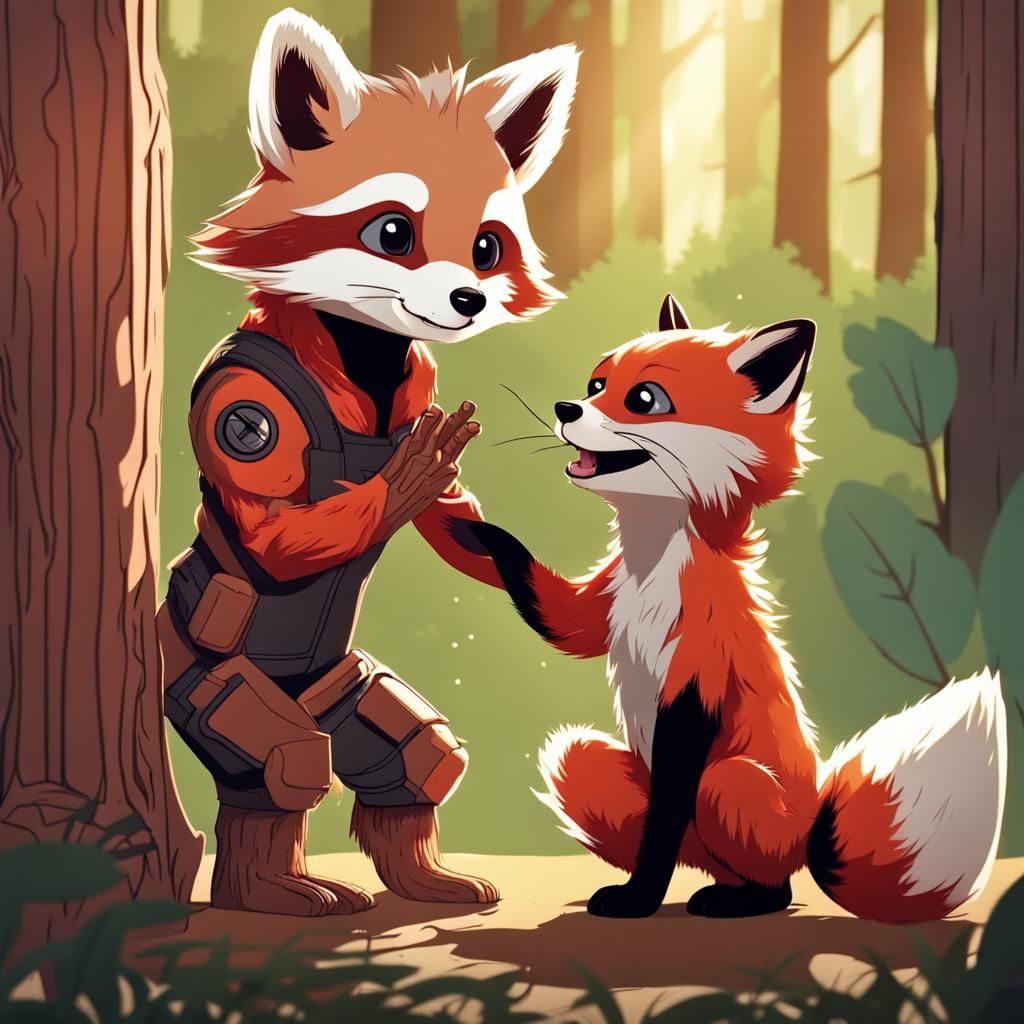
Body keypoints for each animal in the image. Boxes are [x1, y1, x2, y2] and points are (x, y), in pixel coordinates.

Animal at [162, 7, 580, 916]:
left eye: (488, 246)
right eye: (393, 232)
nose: (467, 299)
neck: (362, 356)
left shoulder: (422, 386)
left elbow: (460, 526)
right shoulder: (246, 405)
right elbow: (277, 535)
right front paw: (402, 478)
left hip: (344, 686)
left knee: (415, 752)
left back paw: (427, 877)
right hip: (217, 682)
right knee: (281, 764)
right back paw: (273, 888)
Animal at [465, 295, 1008, 921]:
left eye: (644, 399)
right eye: (596, 383)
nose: (565, 407)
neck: (652, 573)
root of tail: (813, 836)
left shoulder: (696, 675)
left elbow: (662, 825)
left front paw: (639, 900)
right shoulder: (602, 604)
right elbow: (554, 612)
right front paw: (468, 527)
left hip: (729, 783)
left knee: (777, 885)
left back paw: (737, 901)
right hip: (588, 767)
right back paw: (714, 891)